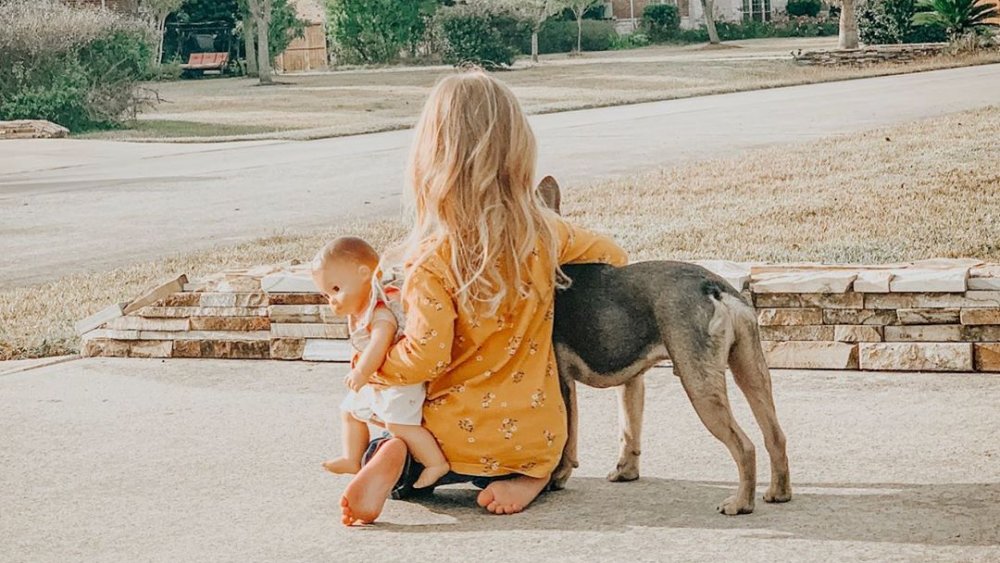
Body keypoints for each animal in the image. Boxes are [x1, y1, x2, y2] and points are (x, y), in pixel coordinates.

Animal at [544, 177, 792, 516]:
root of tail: (713, 288)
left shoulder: (562, 382)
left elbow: (569, 435)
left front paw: (559, 477)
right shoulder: (632, 381)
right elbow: (629, 428)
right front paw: (626, 472)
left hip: (699, 385)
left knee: (744, 446)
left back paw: (740, 503)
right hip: (750, 369)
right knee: (775, 435)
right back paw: (778, 493)